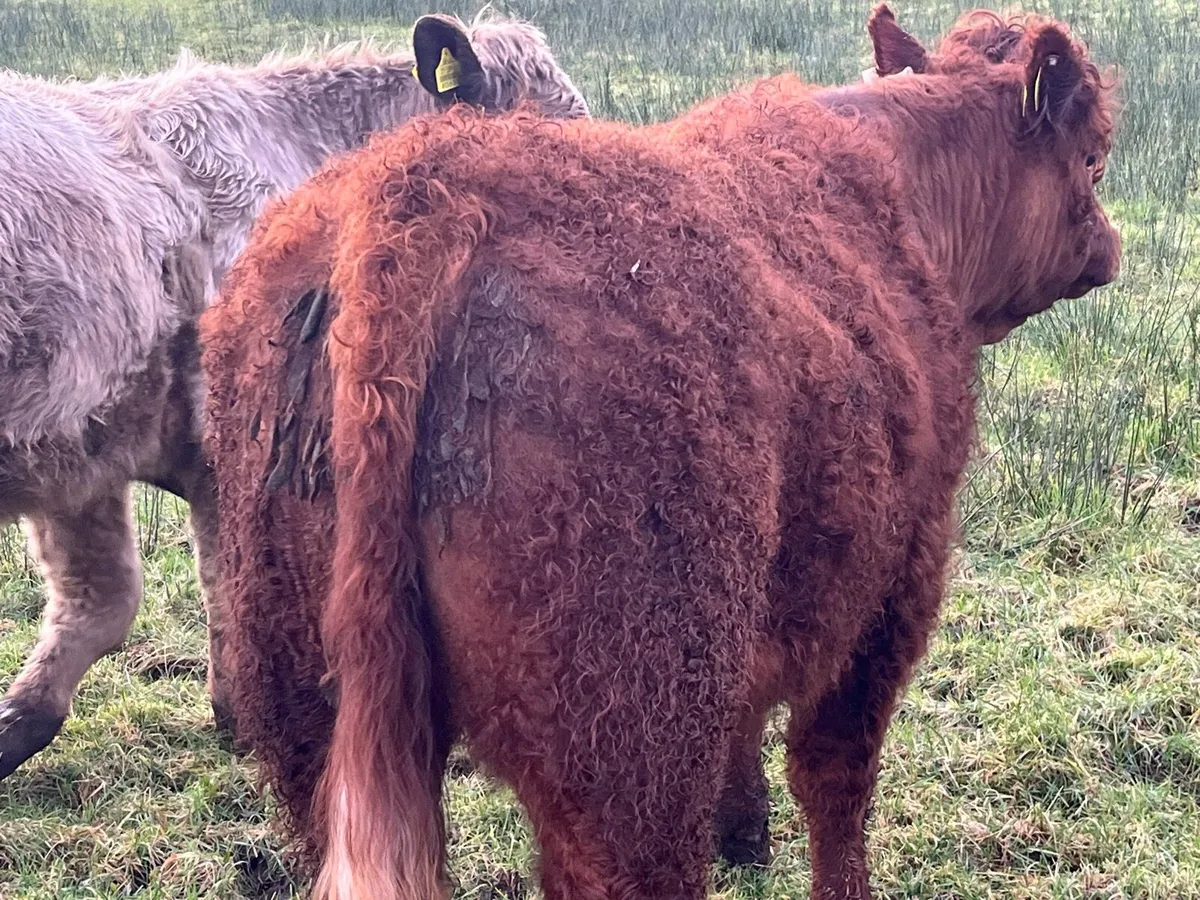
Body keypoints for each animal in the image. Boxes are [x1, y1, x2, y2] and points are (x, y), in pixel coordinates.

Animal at [200, 6, 1119, 898]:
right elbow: (836, 781)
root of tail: (424, 187)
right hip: (633, 746)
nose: (1110, 248)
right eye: (1094, 160)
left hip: (305, 710)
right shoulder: (892, 591)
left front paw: (744, 832)